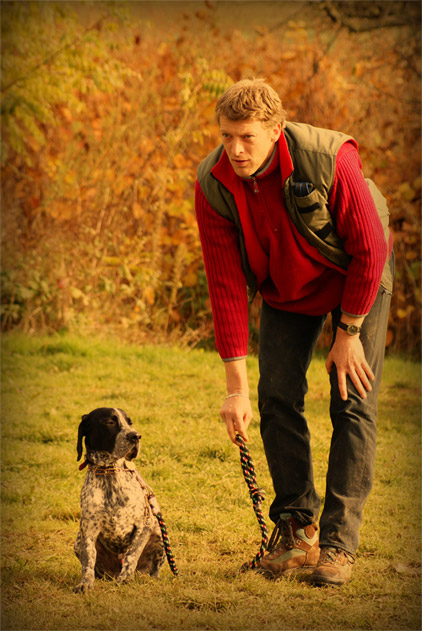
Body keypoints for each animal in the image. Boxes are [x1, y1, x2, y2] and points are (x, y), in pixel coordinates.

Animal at [73, 408, 166, 596]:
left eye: (130, 423)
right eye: (110, 422)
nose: (136, 436)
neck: (109, 471)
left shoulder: (144, 525)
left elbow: (131, 554)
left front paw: (125, 579)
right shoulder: (88, 530)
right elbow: (88, 560)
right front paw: (85, 583)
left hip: (159, 537)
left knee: (151, 570)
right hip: (78, 540)